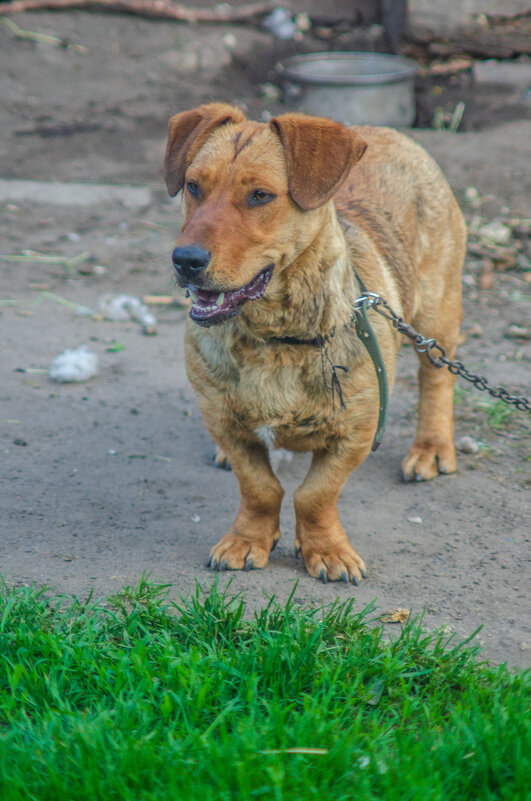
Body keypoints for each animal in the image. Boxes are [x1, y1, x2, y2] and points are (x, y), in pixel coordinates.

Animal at [163, 103, 466, 584]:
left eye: (260, 196)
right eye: (193, 185)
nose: (185, 261)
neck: (273, 338)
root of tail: (386, 132)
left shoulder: (356, 432)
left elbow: (315, 494)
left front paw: (326, 549)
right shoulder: (222, 419)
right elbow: (260, 487)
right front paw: (248, 539)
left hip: (437, 310)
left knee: (437, 377)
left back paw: (431, 448)